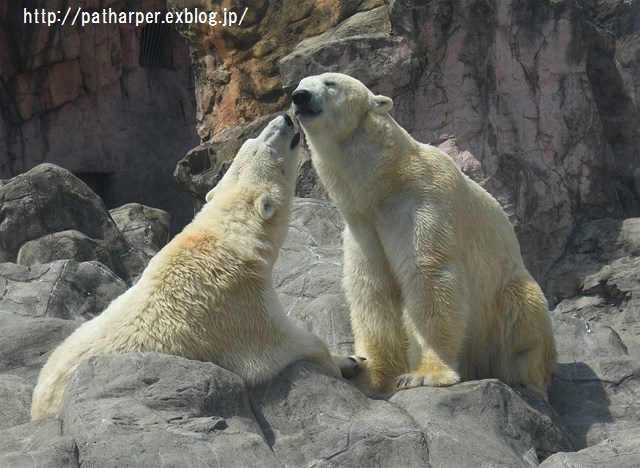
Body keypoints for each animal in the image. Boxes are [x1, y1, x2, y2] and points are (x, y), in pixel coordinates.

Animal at [31, 114, 360, 420]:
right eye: (266, 148)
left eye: (250, 142)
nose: (285, 118)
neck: (227, 238)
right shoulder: (242, 304)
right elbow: (285, 346)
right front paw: (348, 362)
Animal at [290, 74, 556, 398]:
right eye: (300, 83)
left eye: (330, 83)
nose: (300, 96)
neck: (385, 181)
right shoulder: (362, 228)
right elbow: (373, 291)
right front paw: (365, 371)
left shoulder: (421, 205)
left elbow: (428, 276)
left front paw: (422, 375)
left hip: (503, 296)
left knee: (523, 317)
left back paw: (528, 380)